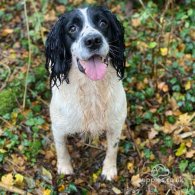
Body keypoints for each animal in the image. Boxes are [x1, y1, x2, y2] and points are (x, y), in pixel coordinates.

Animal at [45, 5, 127, 181]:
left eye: (103, 23)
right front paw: (65, 168)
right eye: (72, 28)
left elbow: (113, 148)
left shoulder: (116, 123)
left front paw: (109, 170)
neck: (91, 86)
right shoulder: (58, 126)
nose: (93, 40)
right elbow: (61, 148)